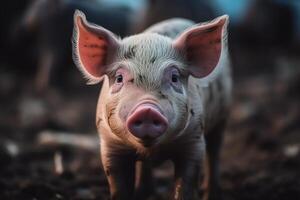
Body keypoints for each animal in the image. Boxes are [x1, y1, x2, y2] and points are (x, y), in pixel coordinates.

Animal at [72, 9, 232, 200]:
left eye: (174, 77)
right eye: (119, 78)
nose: (147, 110)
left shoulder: (194, 140)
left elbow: (186, 181)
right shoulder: (110, 145)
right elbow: (118, 185)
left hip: (222, 115)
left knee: (214, 151)